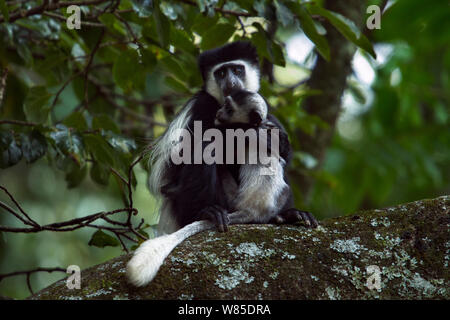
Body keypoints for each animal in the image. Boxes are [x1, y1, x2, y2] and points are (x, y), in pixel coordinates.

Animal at [125, 42, 318, 284]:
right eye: (221, 73)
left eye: (237, 69)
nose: (230, 82)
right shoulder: (200, 105)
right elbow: (176, 162)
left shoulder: (267, 113)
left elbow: (284, 152)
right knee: (203, 152)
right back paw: (208, 213)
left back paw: (288, 215)